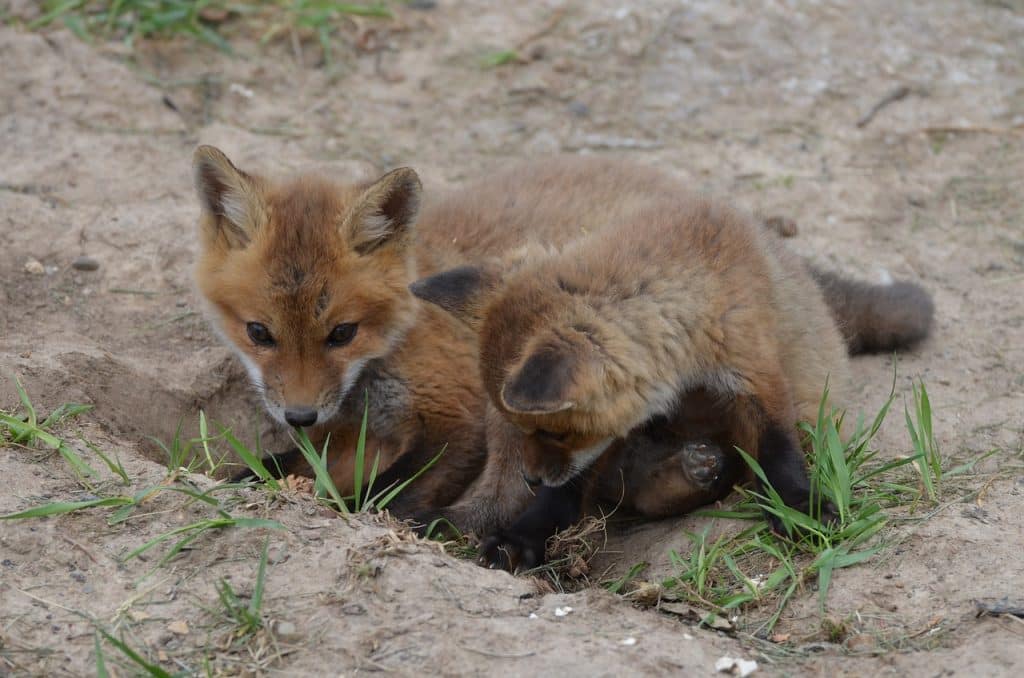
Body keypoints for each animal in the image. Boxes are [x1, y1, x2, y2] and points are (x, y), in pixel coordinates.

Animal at [411, 172, 934, 570]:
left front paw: (799, 507)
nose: (532, 479)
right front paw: (523, 537)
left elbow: (776, 451)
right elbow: (567, 494)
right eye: (527, 430)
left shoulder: (753, 368)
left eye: (553, 432)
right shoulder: (616, 422)